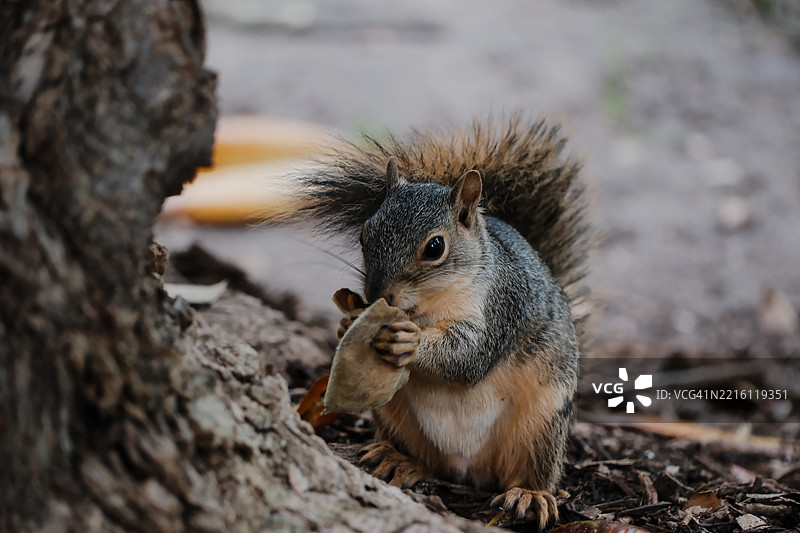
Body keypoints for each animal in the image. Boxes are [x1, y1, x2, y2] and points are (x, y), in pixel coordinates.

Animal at [295, 114, 589, 530]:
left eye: (435, 247)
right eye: (364, 234)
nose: (377, 295)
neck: (427, 308)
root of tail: (467, 467)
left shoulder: (501, 307)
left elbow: (470, 357)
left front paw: (410, 342)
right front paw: (346, 323)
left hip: (540, 424)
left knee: (532, 469)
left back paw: (530, 494)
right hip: (394, 414)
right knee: (429, 464)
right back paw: (399, 459)